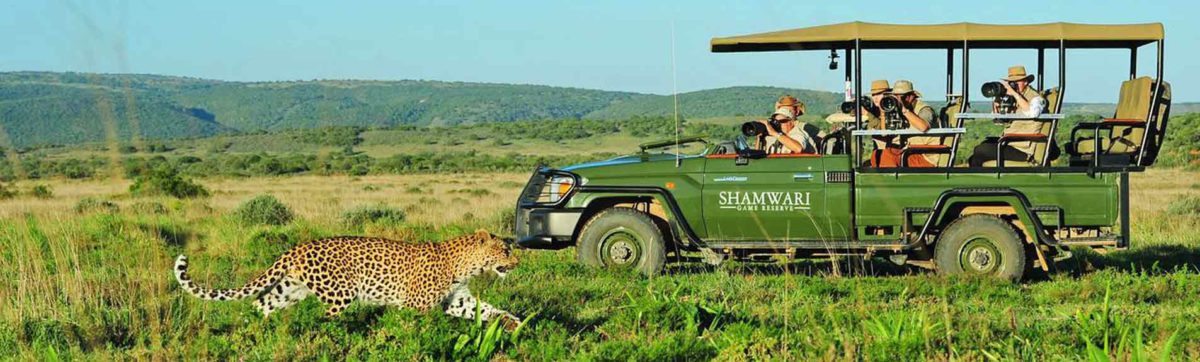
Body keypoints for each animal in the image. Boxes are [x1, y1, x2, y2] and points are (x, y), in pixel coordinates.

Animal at [172, 231, 520, 328]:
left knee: (260, 305)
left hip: (288, 290)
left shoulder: (456, 300)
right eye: (505, 250)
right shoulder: (416, 305)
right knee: (324, 319)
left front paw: (514, 322)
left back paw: (254, 333)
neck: (466, 265)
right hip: (340, 294)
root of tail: (298, 246)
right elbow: (416, 328)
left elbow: (485, 309)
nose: (517, 261)